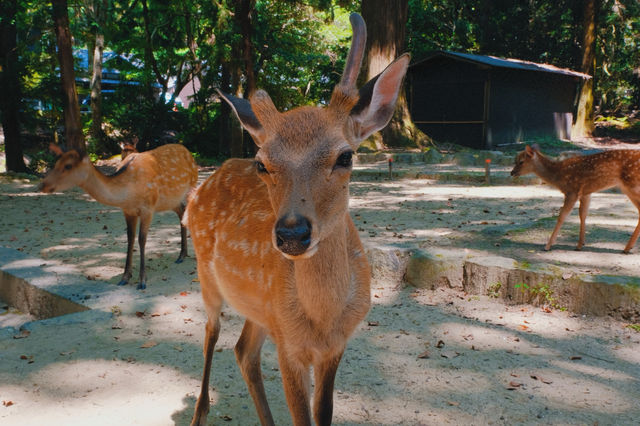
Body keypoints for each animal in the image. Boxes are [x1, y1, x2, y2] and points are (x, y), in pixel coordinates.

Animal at [40, 144, 198, 290]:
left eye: (68, 165)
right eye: (56, 163)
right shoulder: (127, 211)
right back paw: (182, 255)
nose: (42, 185)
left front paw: (142, 281)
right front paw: (125, 278)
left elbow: (142, 240)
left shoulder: (148, 208)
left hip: (191, 185)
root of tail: (188, 152)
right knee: (181, 211)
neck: (128, 194)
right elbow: (130, 238)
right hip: (170, 200)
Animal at [182, 13, 408, 426]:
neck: (322, 319)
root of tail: (199, 188)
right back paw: (200, 411)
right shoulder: (289, 344)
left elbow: (323, 413)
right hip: (208, 278)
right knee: (211, 333)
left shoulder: (332, 345)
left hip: (260, 310)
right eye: (262, 164)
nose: (292, 233)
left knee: (243, 351)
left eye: (345, 156)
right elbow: (302, 416)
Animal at [512, 145, 640, 255]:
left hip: (632, 186)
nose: (512, 172)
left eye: (521, 161)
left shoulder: (572, 191)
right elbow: (583, 214)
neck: (558, 175)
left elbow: (562, 216)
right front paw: (580, 245)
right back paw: (628, 247)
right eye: (515, 160)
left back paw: (627, 248)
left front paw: (547, 246)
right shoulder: (586, 193)